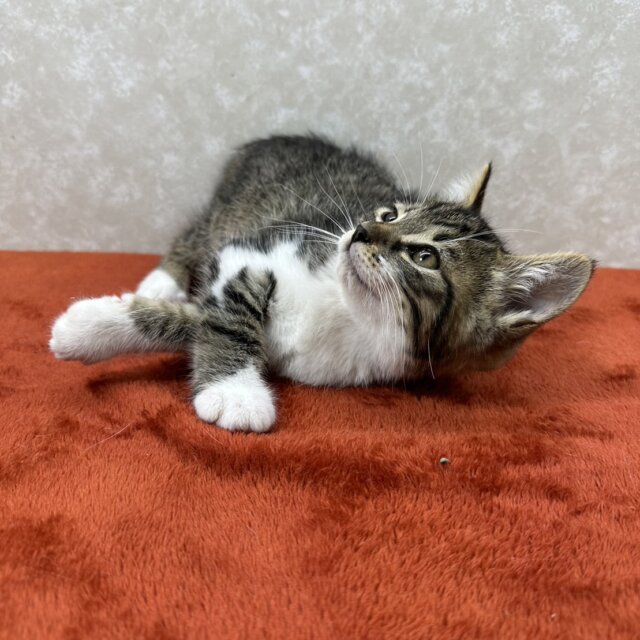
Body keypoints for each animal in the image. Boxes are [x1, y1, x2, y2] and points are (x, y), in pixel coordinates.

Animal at [50, 134, 594, 432]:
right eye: (389, 213)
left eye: (425, 256)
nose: (362, 230)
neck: (343, 309)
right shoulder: (252, 249)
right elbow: (226, 314)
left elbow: (202, 319)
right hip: (228, 207)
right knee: (194, 236)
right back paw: (160, 281)